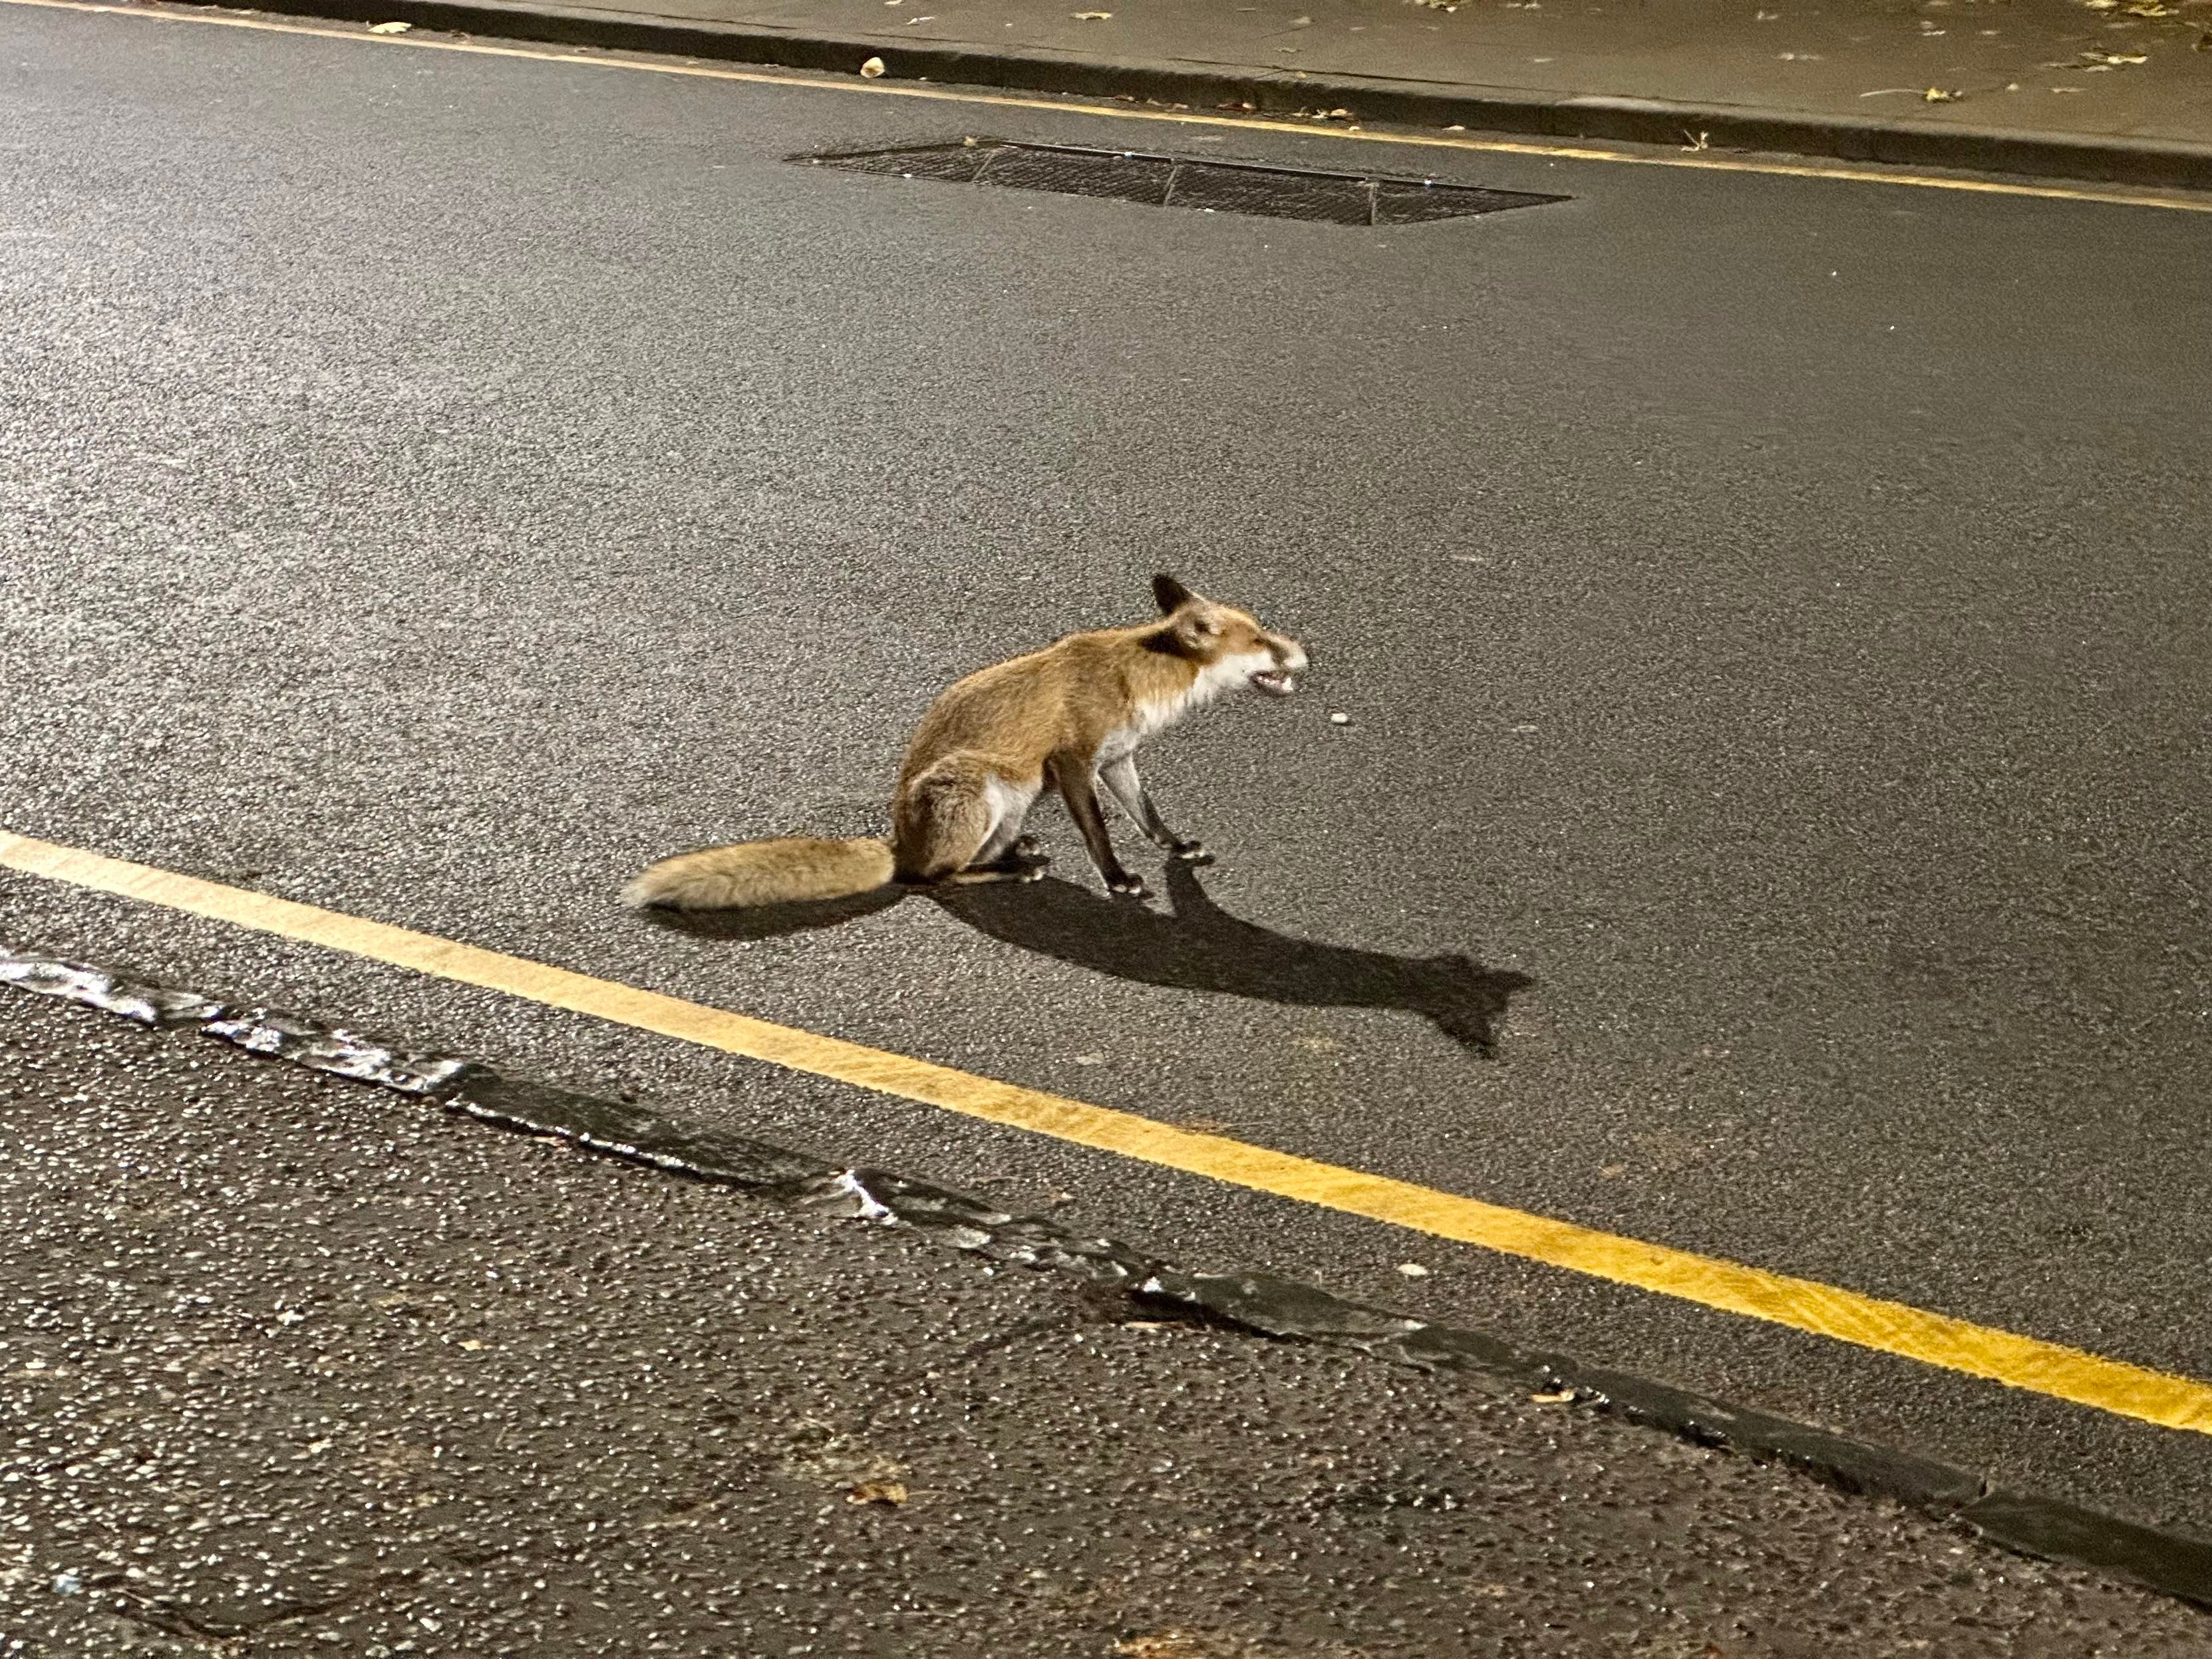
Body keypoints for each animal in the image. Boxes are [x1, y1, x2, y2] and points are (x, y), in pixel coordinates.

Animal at [622, 574, 1308, 910]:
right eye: (1259, 641)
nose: (1304, 651)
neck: (1138, 677)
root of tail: (896, 842)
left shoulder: (1117, 758)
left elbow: (1148, 817)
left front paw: (1175, 846)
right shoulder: (1072, 761)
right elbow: (1100, 835)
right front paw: (1117, 880)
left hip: (1017, 797)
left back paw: (1015, 853)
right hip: (983, 785)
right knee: (933, 878)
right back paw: (1011, 871)